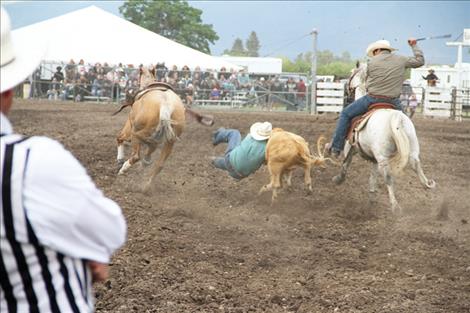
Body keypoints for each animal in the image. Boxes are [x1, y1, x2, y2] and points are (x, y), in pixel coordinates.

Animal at [332, 65, 436, 213]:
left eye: (351, 75)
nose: (347, 95)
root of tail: (396, 118)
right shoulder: (374, 158)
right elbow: (373, 176)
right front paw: (372, 197)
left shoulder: (350, 147)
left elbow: (345, 164)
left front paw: (338, 179)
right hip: (411, 148)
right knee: (415, 164)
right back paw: (427, 184)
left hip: (382, 157)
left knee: (388, 177)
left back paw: (395, 206)